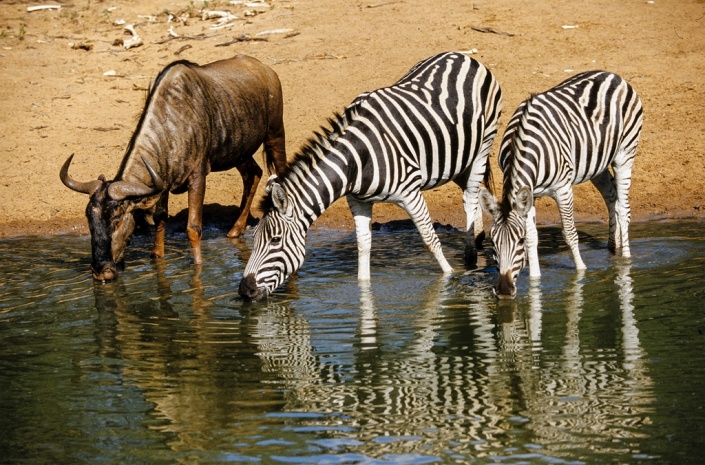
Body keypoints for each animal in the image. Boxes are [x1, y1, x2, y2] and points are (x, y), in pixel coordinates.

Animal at [238, 52, 503, 301]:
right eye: (253, 240)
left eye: (275, 240)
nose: (244, 291)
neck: (355, 160)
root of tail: (461, 56)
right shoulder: (358, 201)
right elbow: (363, 246)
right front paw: (364, 291)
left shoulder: (410, 193)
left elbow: (430, 239)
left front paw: (449, 277)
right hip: (456, 158)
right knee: (473, 191)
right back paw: (478, 238)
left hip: (482, 147)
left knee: (470, 197)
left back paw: (470, 256)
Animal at [479, 71, 643, 299]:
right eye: (493, 243)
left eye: (518, 241)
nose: (503, 291)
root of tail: (613, 75)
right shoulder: (530, 194)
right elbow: (533, 237)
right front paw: (535, 281)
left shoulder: (563, 189)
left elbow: (570, 233)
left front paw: (581, 272)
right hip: (596, 164)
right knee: (611, 197)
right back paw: (613, 247)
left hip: (625, 154)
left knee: (624, 208)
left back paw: (625, 261)